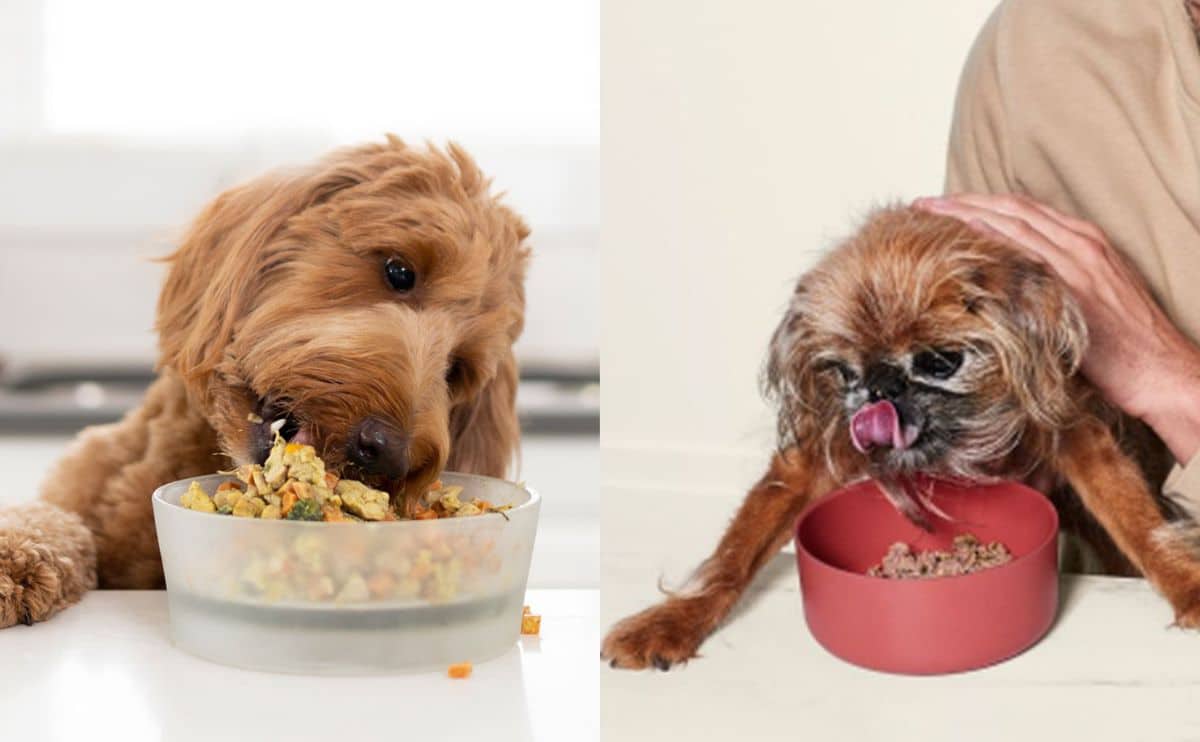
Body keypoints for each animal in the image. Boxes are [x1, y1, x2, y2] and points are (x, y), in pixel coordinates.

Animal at [609, 205, 1200, 667]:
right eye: (844, 371)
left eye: (941, 362)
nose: (879, 387)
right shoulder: (807, 463)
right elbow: (735, 555)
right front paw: (674, 619)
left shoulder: (1077, 432)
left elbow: (1140, 524)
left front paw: (1186, 585)